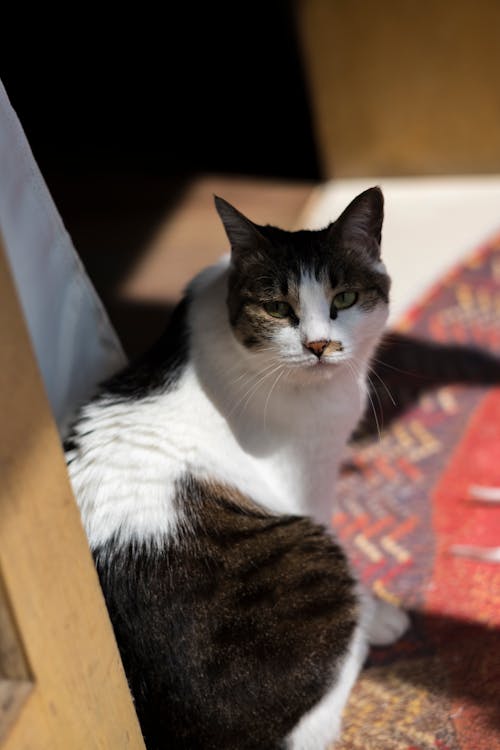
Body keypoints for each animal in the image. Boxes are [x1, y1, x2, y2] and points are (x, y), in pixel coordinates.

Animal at [65, 189, 410, 750]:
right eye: (277, 308)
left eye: (344, 300)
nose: (318, 345)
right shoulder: (309, 475)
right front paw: (381, 617)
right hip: (310, 548)